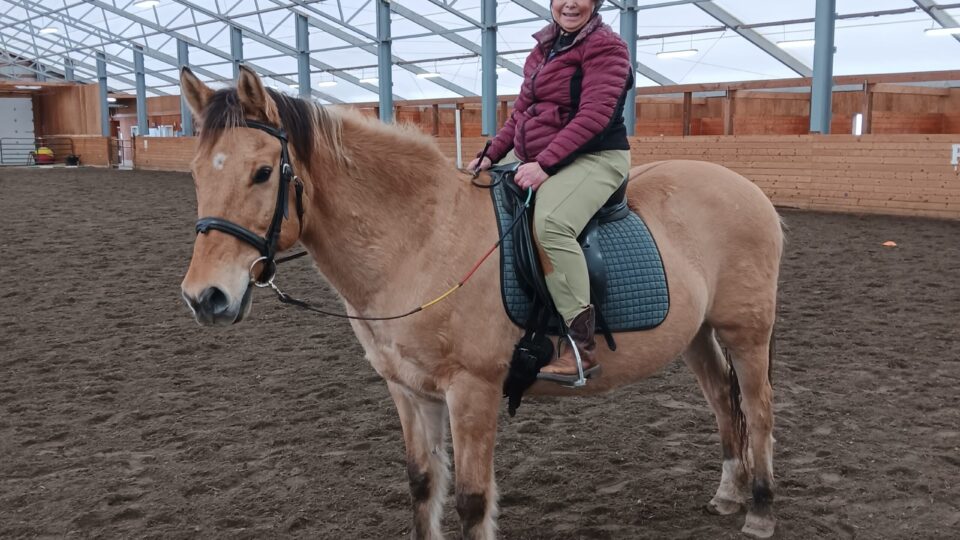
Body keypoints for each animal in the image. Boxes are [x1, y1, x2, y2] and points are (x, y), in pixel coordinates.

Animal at [178, 66, 783, 539]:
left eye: (262, 173)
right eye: (195, 172)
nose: (205, 297)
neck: (420, 238)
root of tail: (749, 189)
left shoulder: (472, 390)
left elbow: (471, 500)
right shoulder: (409, 390)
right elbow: (423, 486)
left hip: (747, 334)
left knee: (757, 410)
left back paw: (759, 511)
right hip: (698, 335)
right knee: (722, 402)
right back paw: (728, 495)